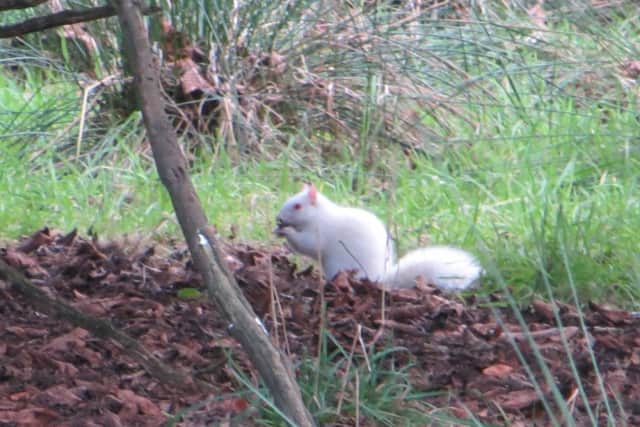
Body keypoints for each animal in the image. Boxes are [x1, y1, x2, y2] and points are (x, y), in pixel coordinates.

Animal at [273, 183, 482, 291]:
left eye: (297, 206)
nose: (279, 218)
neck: (318, 216)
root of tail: (380, 279)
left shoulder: (320, 232)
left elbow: (307, 245)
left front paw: (286, 232)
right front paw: (278, 230)